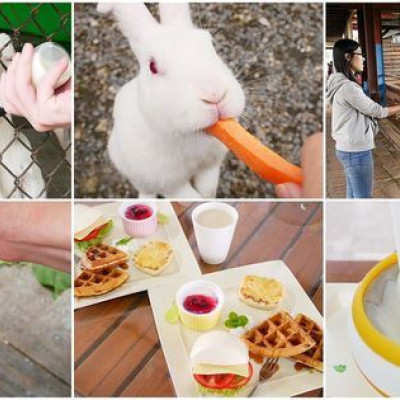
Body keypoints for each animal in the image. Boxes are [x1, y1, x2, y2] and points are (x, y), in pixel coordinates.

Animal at [98, 2, 245, 198]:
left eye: (210, 43)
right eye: (153, 67)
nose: (214, 95)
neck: (189, 139)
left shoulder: (210, 166)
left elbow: (207, 188)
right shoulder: (170, 184)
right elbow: (188, 196)